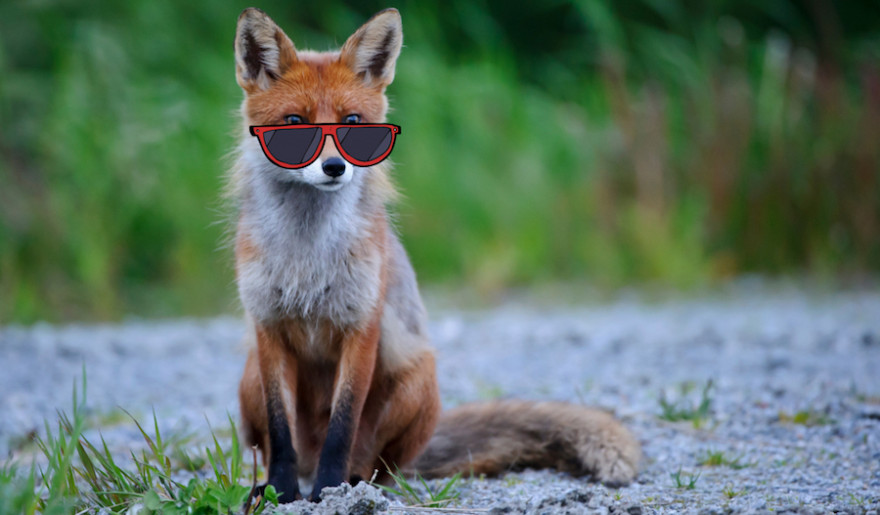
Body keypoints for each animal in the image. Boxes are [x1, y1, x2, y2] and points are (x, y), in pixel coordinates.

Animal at [227, 6, 640, 502]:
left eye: (353, 122)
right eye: (294, 123)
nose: (335, 167)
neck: (307, 256)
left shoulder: (361, 326)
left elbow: (343, 427)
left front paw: (330, 491)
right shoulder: (267, 327)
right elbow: (280, 430)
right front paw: (281, 493)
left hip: (419, 379)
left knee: (375, 463)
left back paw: (357, 485)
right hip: (248, 376)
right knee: (275, 446)